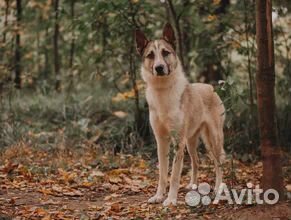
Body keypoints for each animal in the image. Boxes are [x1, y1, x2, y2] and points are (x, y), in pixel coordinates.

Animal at [136, 22, 227, 206]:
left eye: (165, 52)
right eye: (150, 55)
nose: (159, 68)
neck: (162, 90)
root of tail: (210, 87)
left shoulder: (178, 141)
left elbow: (174, 174)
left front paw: (170, 200)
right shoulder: (161, 141)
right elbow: (163, 173)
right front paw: (158, 196)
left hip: (213, 139)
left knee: (218, 163)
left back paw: (217, 189)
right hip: (191, 141)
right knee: (196, 161)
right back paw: (193, 185)